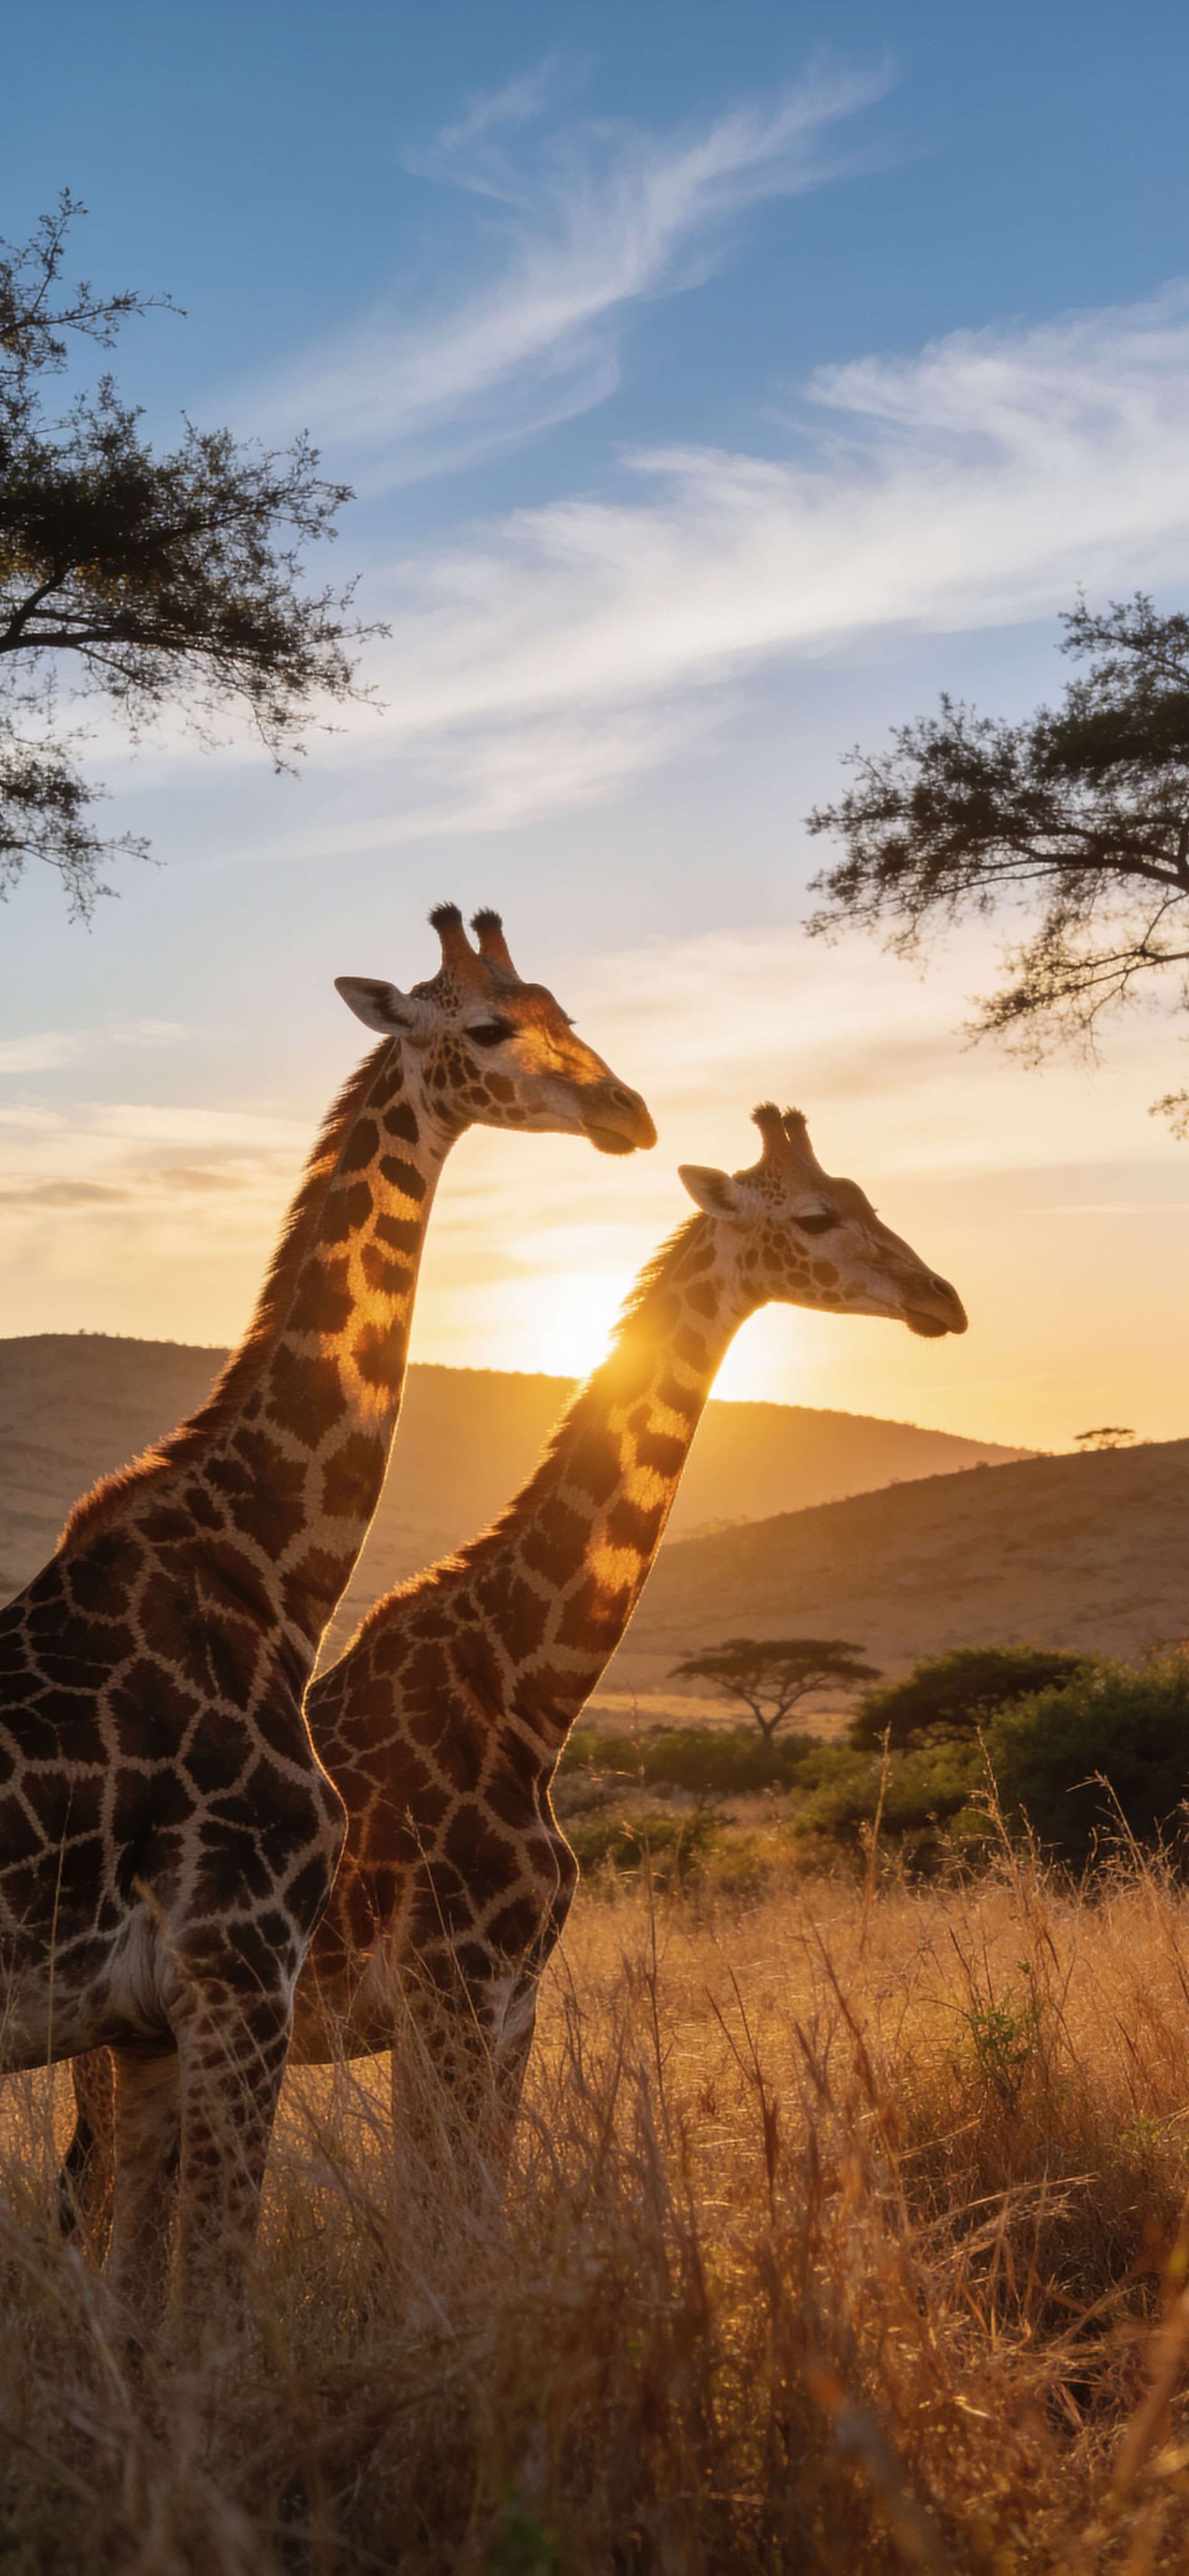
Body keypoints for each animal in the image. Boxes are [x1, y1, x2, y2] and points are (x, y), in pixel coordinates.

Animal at [4, 901, 653, 2317]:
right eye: (487, 1027)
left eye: (568, 1011)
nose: (628, 1112)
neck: (264, 1563)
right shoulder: (239, 1968)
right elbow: (212, 2303)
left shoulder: (155, 2022)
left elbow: (149, 2311)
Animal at [66, 1099, 965, 2222]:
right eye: (815, 1215)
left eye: (865, 1197)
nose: (943, 1299)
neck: (531, 1679)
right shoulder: (449, 1987)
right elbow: (436, 2213)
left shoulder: (513, 2002)